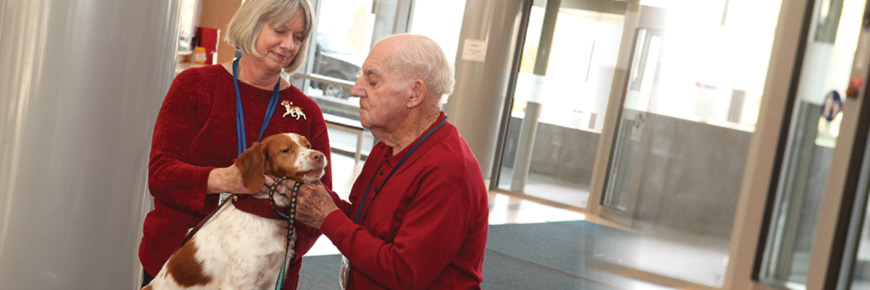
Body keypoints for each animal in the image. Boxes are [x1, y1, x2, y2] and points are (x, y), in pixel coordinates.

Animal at [145, 133, 328, 288]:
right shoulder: (242, 282)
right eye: (286, 150)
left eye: (308, 145)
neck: (264, 215)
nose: (319, 155)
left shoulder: (273, 277)